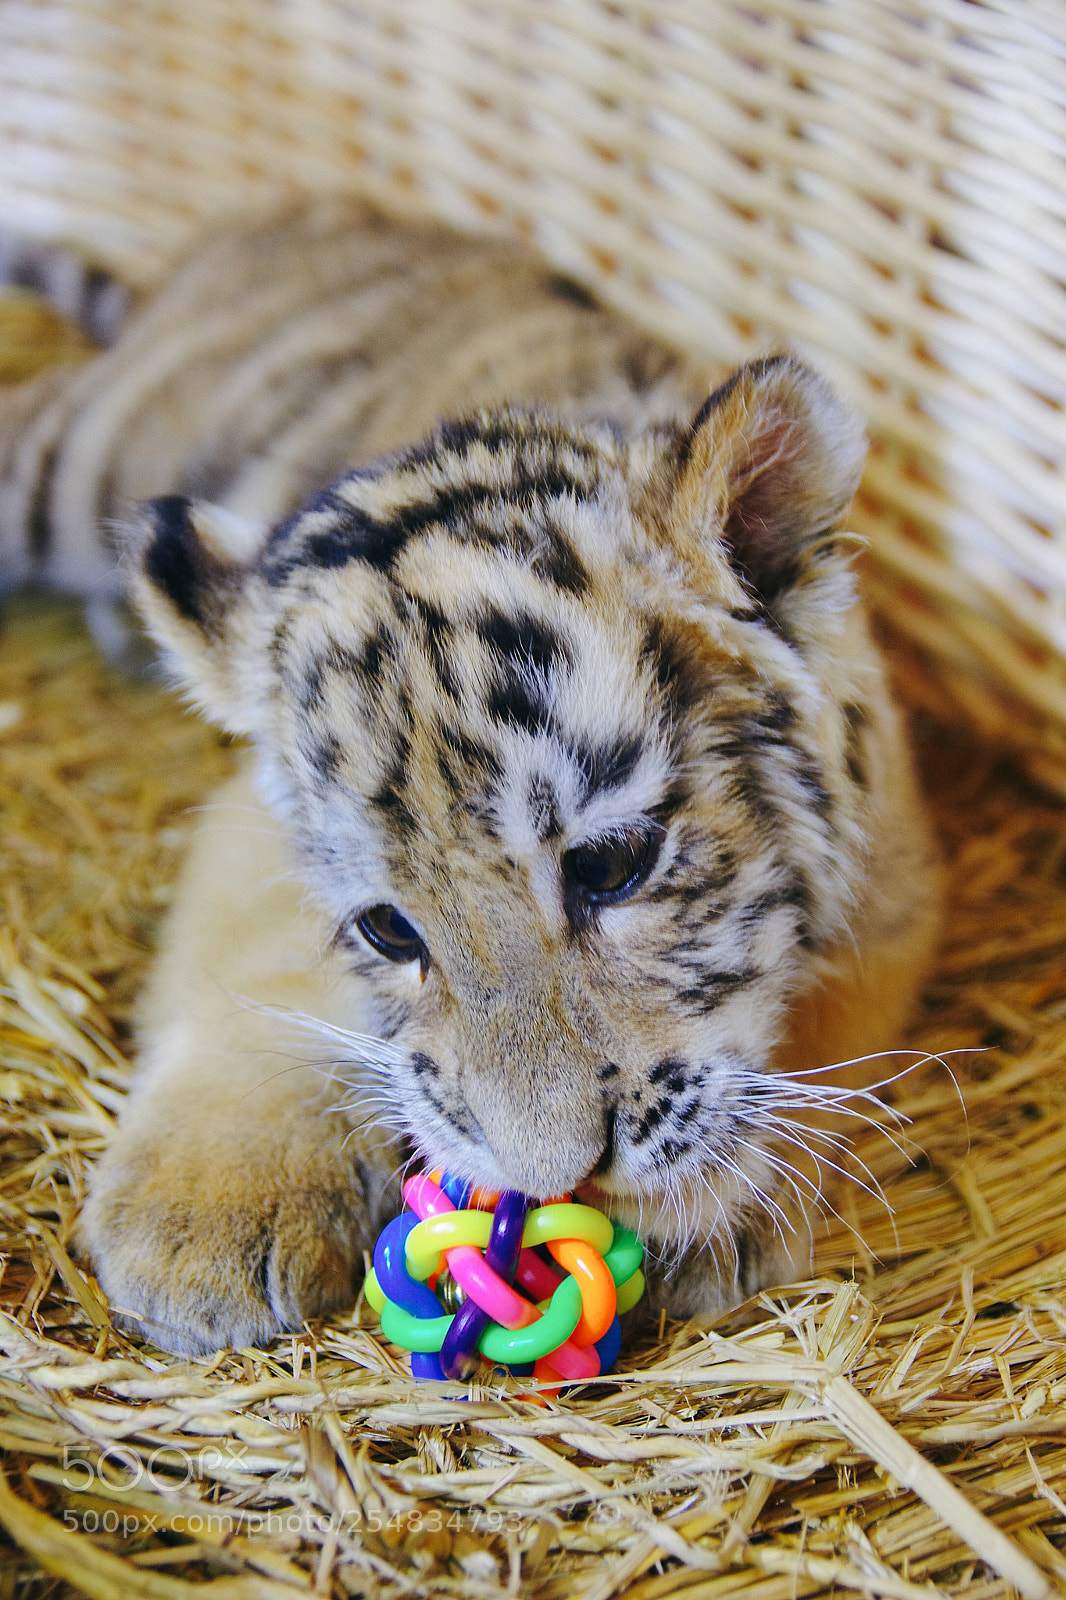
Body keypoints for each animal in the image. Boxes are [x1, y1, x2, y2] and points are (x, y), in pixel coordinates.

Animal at [1, 201, 940, 1355]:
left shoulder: (898, 873)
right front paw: (208, 1217)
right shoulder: (247, 828)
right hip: (83, 452)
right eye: (389, 928)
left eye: (613, 867)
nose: (558, 1174)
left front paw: (717, 1204)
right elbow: (260, 978)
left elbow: (826, 1013)